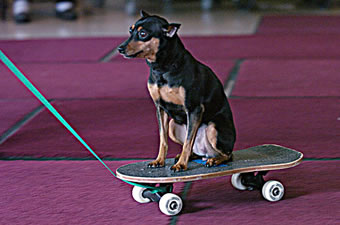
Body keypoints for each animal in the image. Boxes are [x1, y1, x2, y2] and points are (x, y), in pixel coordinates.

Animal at [118, 10, 235, 171]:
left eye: (143, 33)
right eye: (131, 30)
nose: (120, 48)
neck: (162, 69)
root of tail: (205, 152)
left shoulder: (194, 109)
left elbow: (187, 142)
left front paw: (181, 165)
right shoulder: (160, 108)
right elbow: (163, 140)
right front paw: (159, 161)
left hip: (213, 128)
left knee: (227, 154)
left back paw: (214, 160)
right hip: (173, 125)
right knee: (193, 148)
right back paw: (191, 156)